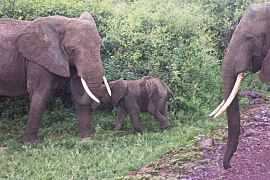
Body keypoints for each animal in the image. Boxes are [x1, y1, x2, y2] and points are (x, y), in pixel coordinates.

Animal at [0, 12, 110, 143]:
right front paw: (31, 143)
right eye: (72, 50)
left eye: (100, 47)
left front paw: (87, 137)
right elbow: (41, 93)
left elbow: (78, 90)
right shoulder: (37, 61)